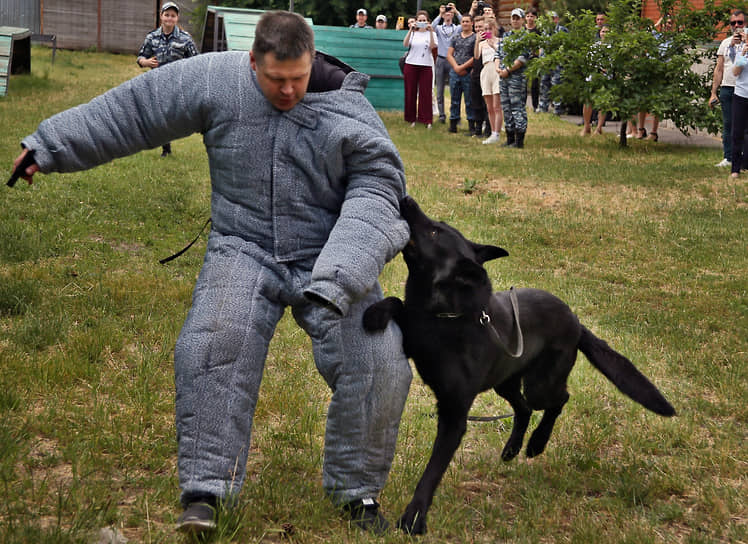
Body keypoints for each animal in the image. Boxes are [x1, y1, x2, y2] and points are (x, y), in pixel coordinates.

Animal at [366, 197, 676, 536]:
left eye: (434, 232)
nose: (407, 200)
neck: (448, 315)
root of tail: (576, 321)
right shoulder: (416, 335)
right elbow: (397, 302)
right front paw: (376, 312)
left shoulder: (454, 415)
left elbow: (432, 471)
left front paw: (414, 517)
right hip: (506, 381)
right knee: (524, 408)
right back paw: (513, 447)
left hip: (541, 384)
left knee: (558, 400)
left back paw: (537, 443)